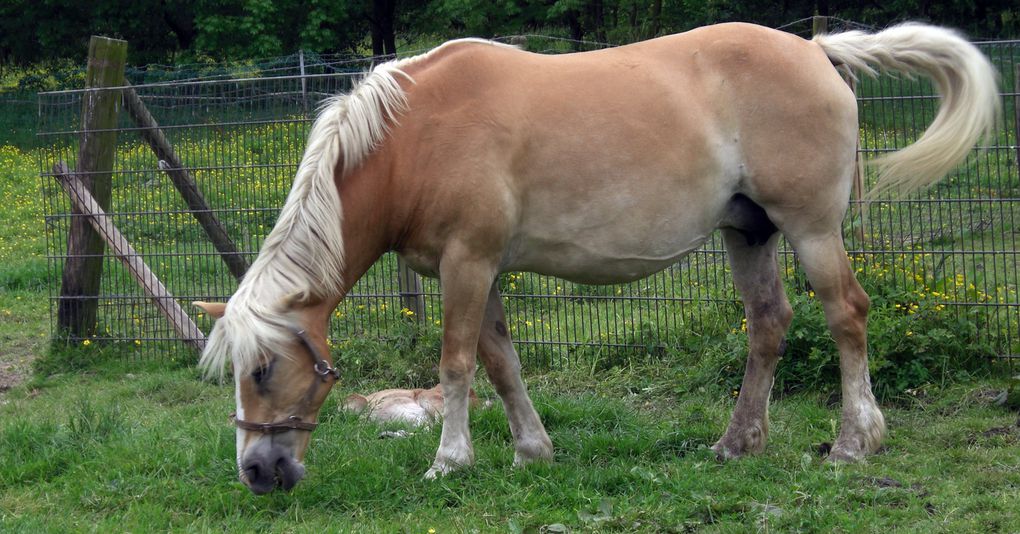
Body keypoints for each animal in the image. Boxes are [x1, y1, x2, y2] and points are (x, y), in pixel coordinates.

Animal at [194, 22, 999, 495]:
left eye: (262, 370)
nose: (257, 471)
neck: (412, 137)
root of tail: (815, 48)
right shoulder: (483, 270)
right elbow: (500, 363)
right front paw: (531, 451)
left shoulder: (467, 263)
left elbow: (456, 363)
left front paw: (449, 462)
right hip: (750, 234)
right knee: (769, 326)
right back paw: (737, 443)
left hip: (811, 229)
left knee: (847, 316)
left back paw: (856, 442)